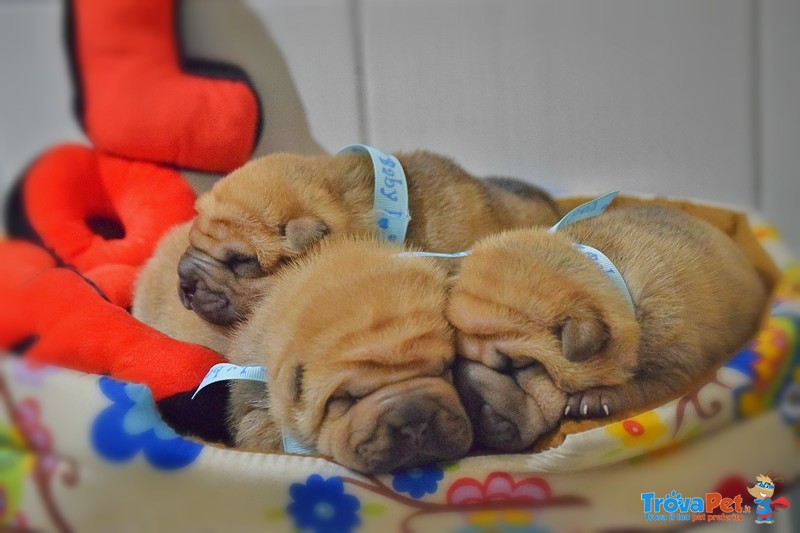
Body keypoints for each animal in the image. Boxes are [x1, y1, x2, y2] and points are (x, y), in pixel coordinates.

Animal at [450, 204, 768, 454]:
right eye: (456, 358)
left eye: (518, 366)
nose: (465, 389)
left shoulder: (673, 366)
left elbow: (639, 386)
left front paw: (594, 399)